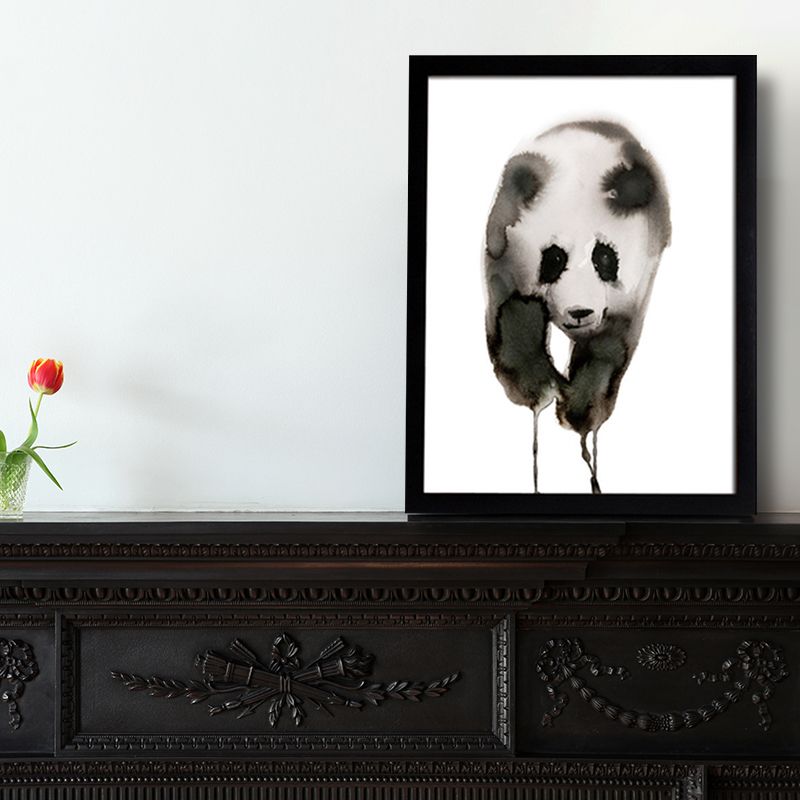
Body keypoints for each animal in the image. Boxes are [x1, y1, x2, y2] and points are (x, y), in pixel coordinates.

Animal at [484, 120, 671, 494]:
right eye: (554, 258)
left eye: (605, 257)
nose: (580, 312)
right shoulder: (501, 247)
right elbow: (510, 314)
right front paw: (536, 387)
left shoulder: (635, 289)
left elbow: (607, 350)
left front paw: (581, 412)